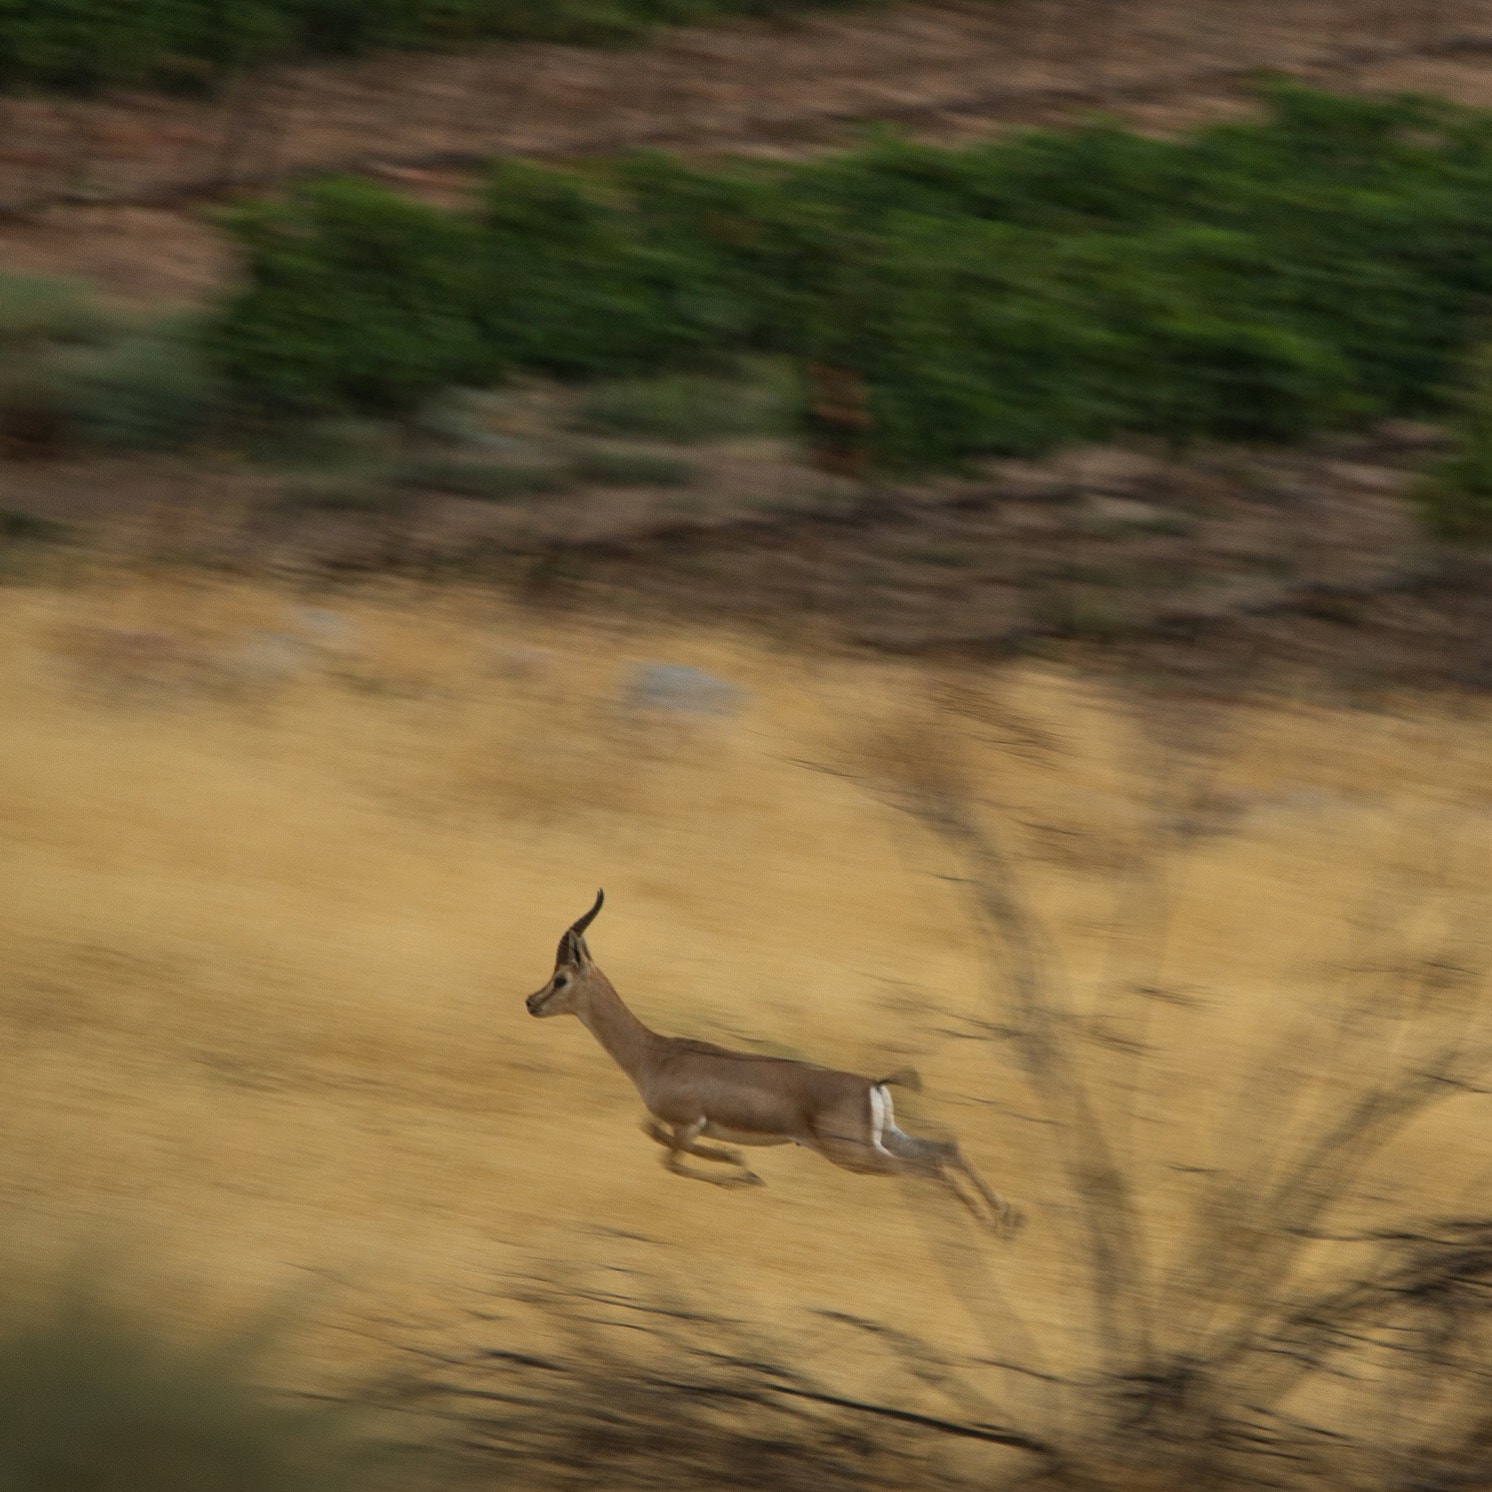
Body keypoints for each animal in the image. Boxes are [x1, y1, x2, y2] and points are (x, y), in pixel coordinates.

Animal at [525, 891, 1020, 1235]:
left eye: (561, 978)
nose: (531, 1002)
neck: (656, 1054)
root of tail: (872, 1084)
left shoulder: (688, 1124)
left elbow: (672, 1161)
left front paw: (743, 1173)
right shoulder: (683, 1126)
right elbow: (654, 1135)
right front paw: (742, 1164)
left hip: (855, 1154)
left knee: (928, 1168)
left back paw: (988, 1223)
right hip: (885, 1140)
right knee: (947, 1148)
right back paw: (1005, 1219)